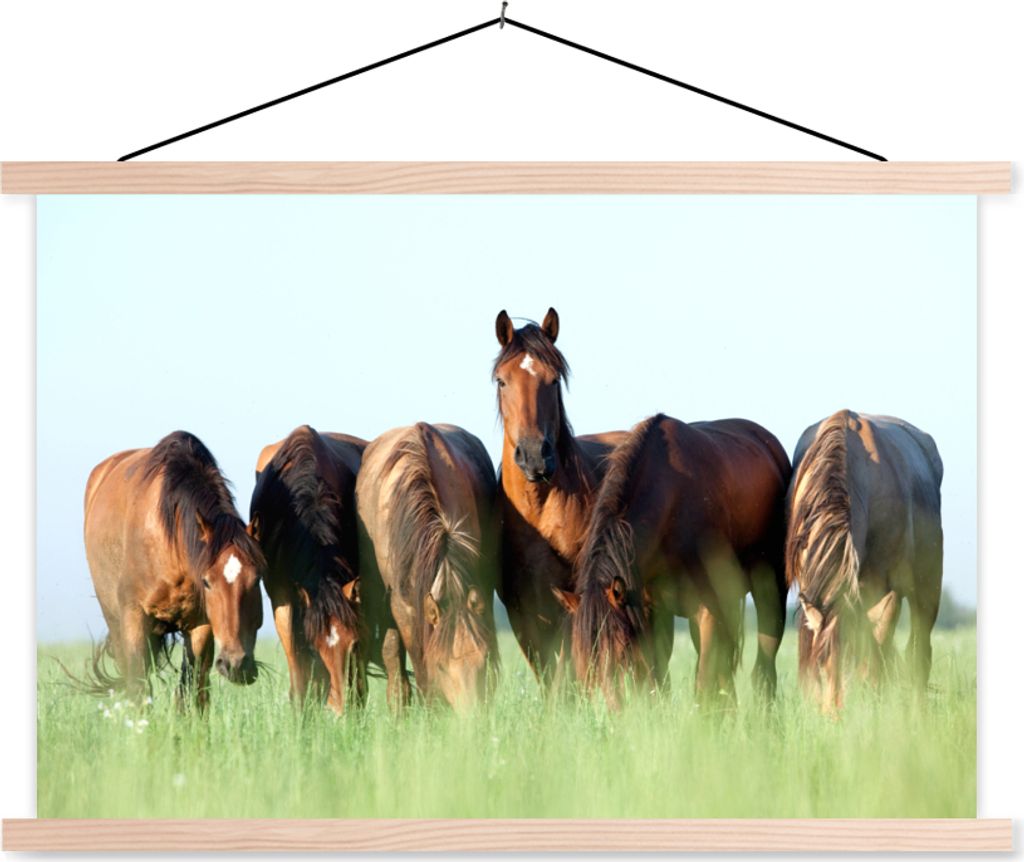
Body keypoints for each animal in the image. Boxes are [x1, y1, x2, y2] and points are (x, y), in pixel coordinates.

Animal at [83, 431, 264, 710]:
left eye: (257, 580)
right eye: (207, 582)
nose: (236, 665)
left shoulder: (201, 625)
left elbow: (193, 689)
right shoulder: (134, 617)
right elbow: (137, 686)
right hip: (114, 619)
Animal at [557, 413, 791, 709]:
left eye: (621, 651)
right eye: (582, 659)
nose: (613, 713)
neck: (671, 505)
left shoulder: (707, 610)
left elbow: (703, 683)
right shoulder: (650, 612)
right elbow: (657, 680)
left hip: (770, 592)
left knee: (763, 666)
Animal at [786, 410, 943, 713]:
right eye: (822, 665)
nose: (835, 717)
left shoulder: (887, 590)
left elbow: (876, 654)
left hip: (927, 588)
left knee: (919, 653)